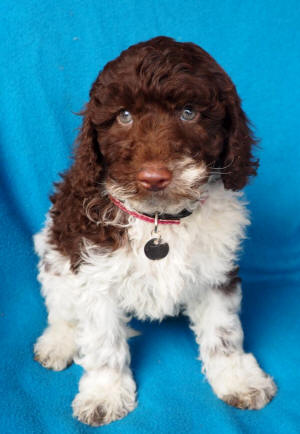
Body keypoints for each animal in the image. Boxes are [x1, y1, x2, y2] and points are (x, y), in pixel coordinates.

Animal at [33, 37, 276, 428]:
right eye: (124, 116)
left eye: (188, 113)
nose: (154, 178)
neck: (160, 219)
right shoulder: (94, 274)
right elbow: (103, 342)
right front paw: (105, 394)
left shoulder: (216, 272)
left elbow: (223, 332)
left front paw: (238, 379)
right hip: (52, 252)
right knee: (60, 306)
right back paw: (58, 342)